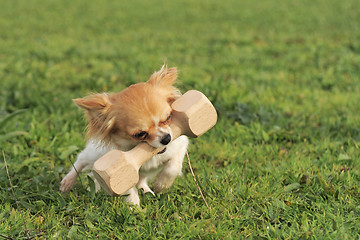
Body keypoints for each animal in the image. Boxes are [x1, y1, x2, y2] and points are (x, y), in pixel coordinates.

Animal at [59, 65, 188, 204]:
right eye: (140, 134)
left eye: (168, 117)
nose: (166, 139)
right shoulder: (119, 170)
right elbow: (129, 189)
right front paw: (134, 205)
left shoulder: (180, 145)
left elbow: (173, 167)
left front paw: (162, 185)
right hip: (95, 154)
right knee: (81, 159)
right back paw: (67, 182)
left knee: (141, 179)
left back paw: (146, 190)